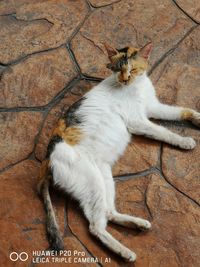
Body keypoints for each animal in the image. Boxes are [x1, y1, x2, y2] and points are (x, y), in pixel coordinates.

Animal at [38, 42, 200, 262]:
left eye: (133, 69)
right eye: (117, 69)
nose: (125, 79)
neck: (137, 86)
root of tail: (46, 161)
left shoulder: (153, 107)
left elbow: (180, 111)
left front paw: (197, 118)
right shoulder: (138, 121)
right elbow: (164, 132)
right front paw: (184, 141)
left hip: (104, 178)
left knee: (108, 212)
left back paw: (138, 224)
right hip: (93, 181)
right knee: (95, 227)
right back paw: (125, 252)